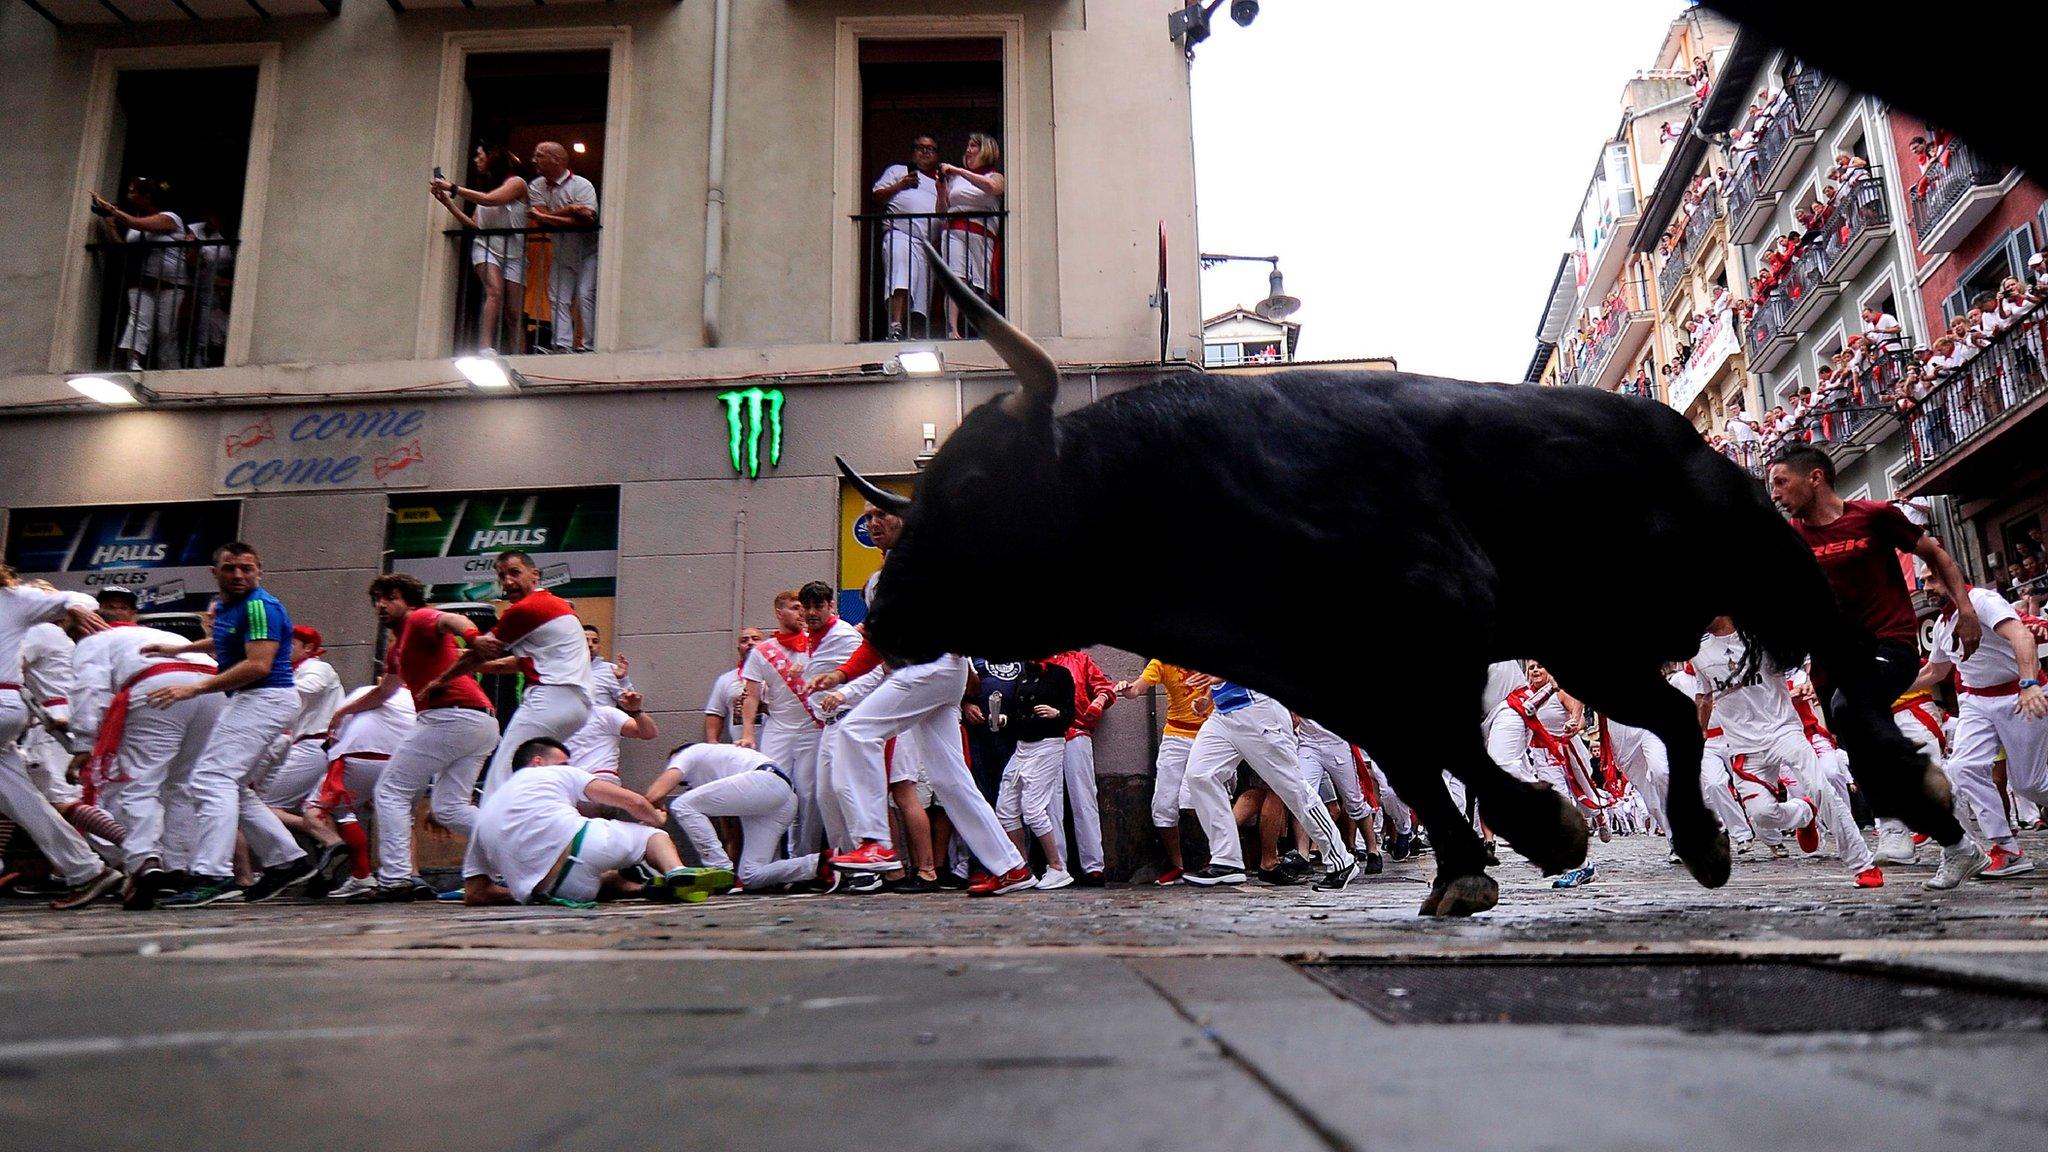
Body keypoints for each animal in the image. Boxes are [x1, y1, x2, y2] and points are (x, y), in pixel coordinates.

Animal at [839, 241, 1957, 914]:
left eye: (972, 485)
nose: (883, 612)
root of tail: (1675, 429)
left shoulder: (1436, 622)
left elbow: (1447, 749)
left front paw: (1536, 833)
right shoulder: (1331, 675)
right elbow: (1416, 763)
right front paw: (1469, 868)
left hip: (1762, 557)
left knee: (1838, 671)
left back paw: (1919, 793)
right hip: (1585, 646)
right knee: (1680, 721)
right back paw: (1701, 839)